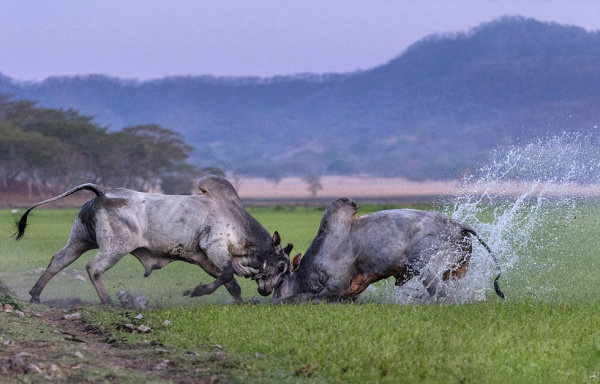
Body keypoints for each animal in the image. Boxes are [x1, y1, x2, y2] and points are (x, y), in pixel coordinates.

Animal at [14, 176, 290, 304]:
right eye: (281, 266)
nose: (267, 291)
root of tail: (103, 194)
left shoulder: (206, 259)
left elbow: (230, 281)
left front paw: (239, 301)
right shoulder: (214, 247)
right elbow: (228, 274)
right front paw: (197, 291)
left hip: (79, 242)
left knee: (58, 261)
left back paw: (35, 294)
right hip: (115, 248)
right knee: (93, 268)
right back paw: (108, 301)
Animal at [260, 198, 504, 304]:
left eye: (280, 281)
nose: (263, 291)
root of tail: (459, 226)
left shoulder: (336, 284)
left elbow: (309, 298)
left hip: (428, 269)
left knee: (445, 295)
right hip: (455, 269)